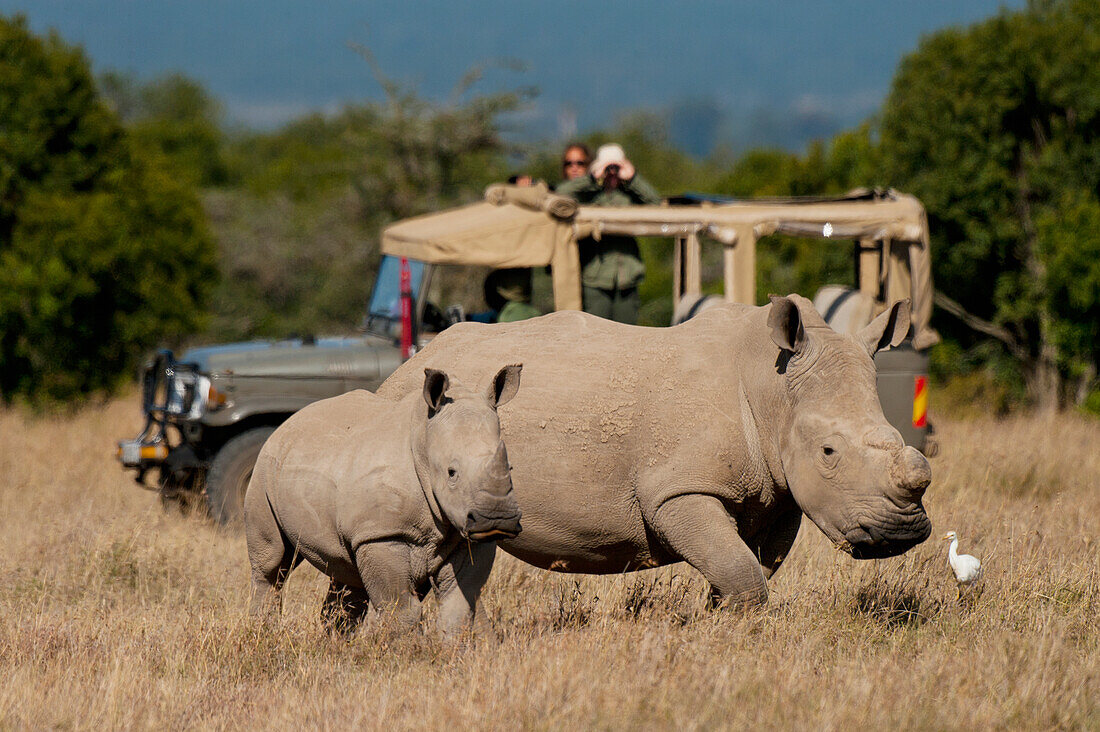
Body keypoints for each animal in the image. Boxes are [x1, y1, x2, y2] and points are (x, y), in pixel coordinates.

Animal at [245, 363, 523, 638]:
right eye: (451, 472)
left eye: (510, 468)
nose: (497, 519)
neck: (424, 440)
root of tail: (289, 421)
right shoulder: (381, 534)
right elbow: (401, 608)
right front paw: (408, 648)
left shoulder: (466, 536)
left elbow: (459, 605)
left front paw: (453, 646)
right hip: (265, 467)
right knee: (272, 565)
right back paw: (264, 633)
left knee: (347, 572)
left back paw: (338, 640)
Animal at [376, 292, 928, 603]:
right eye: (829, 453)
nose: (901, 533)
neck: (772, 390)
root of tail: (408, 364)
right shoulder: (677, 491)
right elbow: (742, 575)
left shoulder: (780, 493)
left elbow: (746, 570)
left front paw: (720, 625)